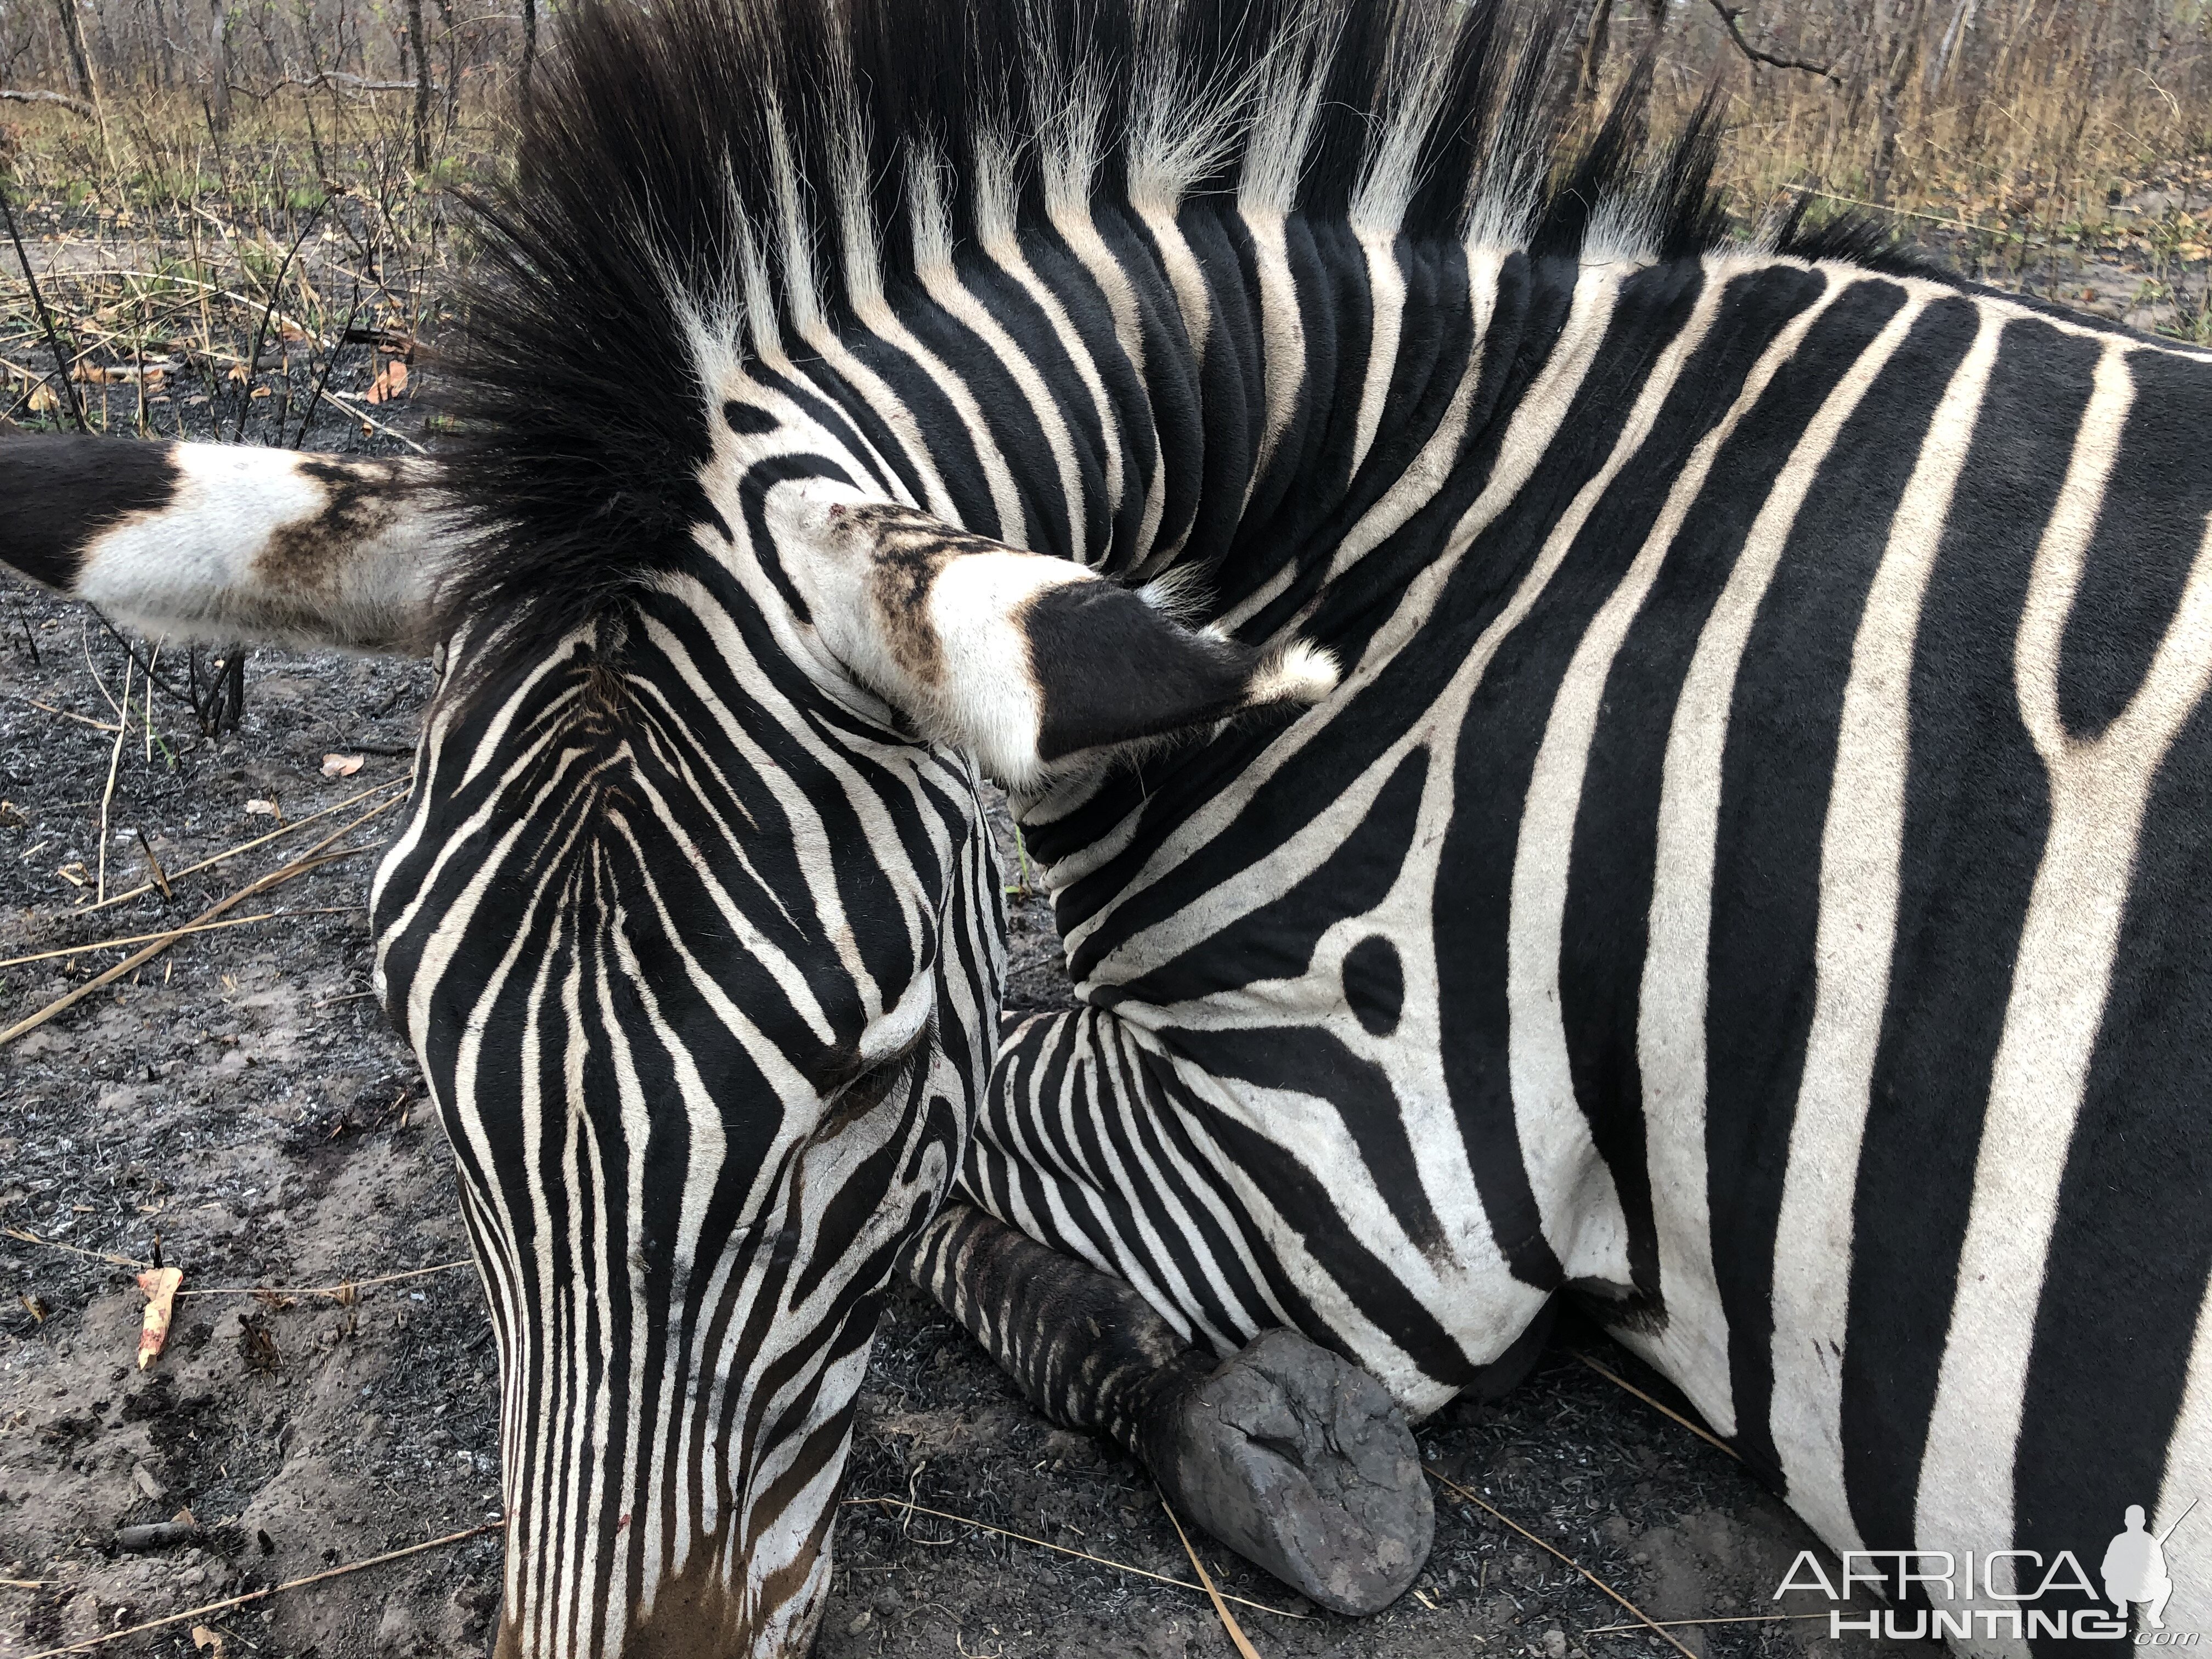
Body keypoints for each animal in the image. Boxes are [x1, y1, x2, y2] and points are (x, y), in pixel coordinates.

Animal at [4, 0, 2212, 1654]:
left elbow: (981, 1185)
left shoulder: (1363, 1160)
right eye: (420, 1049)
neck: (1385, 543)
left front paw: (1261, 1429)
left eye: (857, 1087)